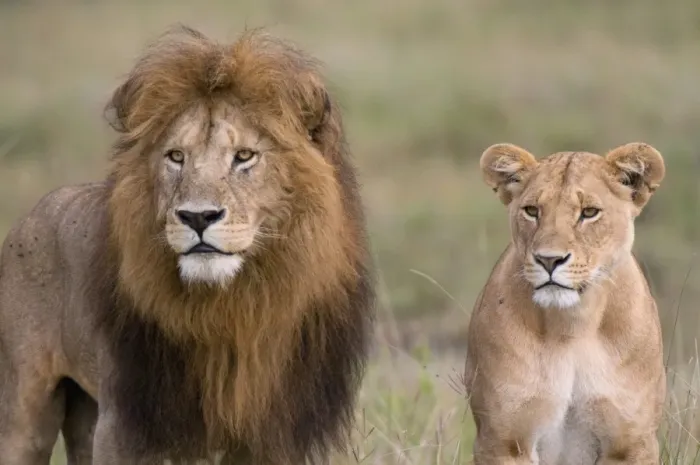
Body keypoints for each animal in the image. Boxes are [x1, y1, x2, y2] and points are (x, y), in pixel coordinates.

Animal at [0, 25, 375, 465]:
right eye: (176, 156)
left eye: (244, 156)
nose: (198, 217)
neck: (233, 308)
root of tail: (33, 212)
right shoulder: (127, 424)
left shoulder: (272, 432)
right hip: (23, 411)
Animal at [464, 142, 667, 464]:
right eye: (532, 211)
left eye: (589, 212)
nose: (549, 260)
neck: (573, 325)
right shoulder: (503, 441)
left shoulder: (632, 444)